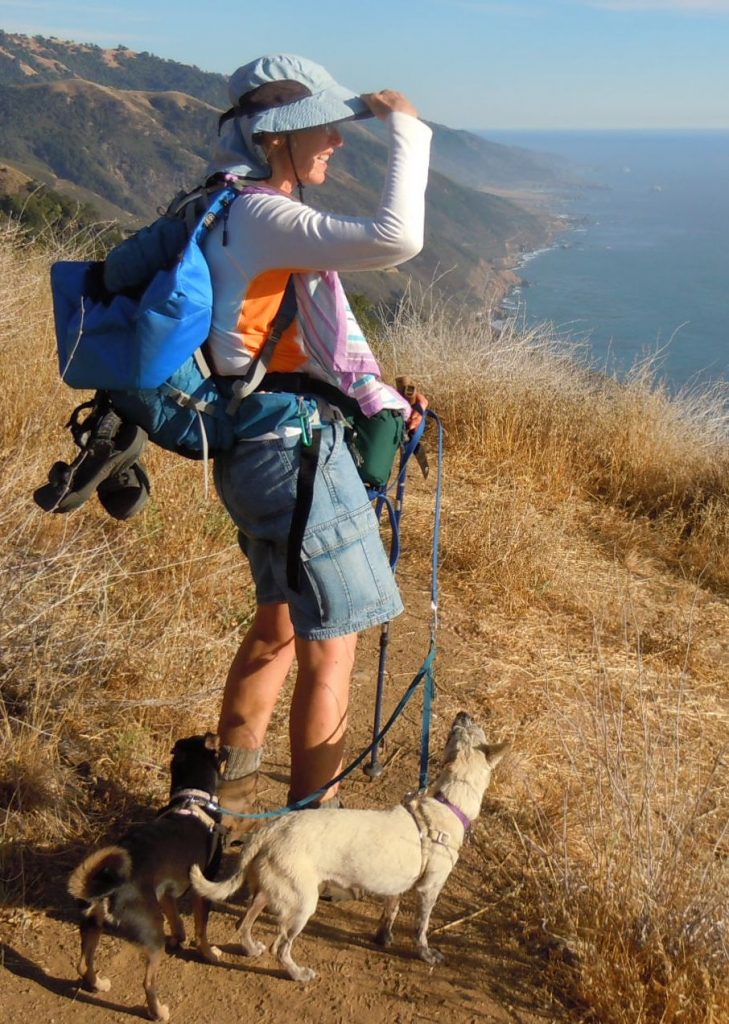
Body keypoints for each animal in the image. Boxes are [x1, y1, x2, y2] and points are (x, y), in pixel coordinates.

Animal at [69, 733, 227, 1019]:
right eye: (220, 747)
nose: (230, 748)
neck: (192, 799)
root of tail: (109, 890)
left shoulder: (166, 893)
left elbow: (177, 920)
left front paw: (179, 939)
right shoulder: (203, 889)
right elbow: (201, 930)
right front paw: (209, 953)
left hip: (92, 925)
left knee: (82, 963)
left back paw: (97, 983)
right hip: (153, 937)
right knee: (147, 983)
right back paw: (158, 1012)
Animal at [190, 712, 509, 983]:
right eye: (469, 728)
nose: (463, 713)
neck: (448, 802)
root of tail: (268, 831)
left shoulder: (396, 887)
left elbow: (390, 912)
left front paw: (383, 937)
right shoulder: (429, 889)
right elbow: (421, 928)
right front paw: (426, 954)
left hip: (272, 892)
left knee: (244, 923)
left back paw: (251, 947)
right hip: (303, 904)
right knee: (279, 947)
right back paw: (298, 974)